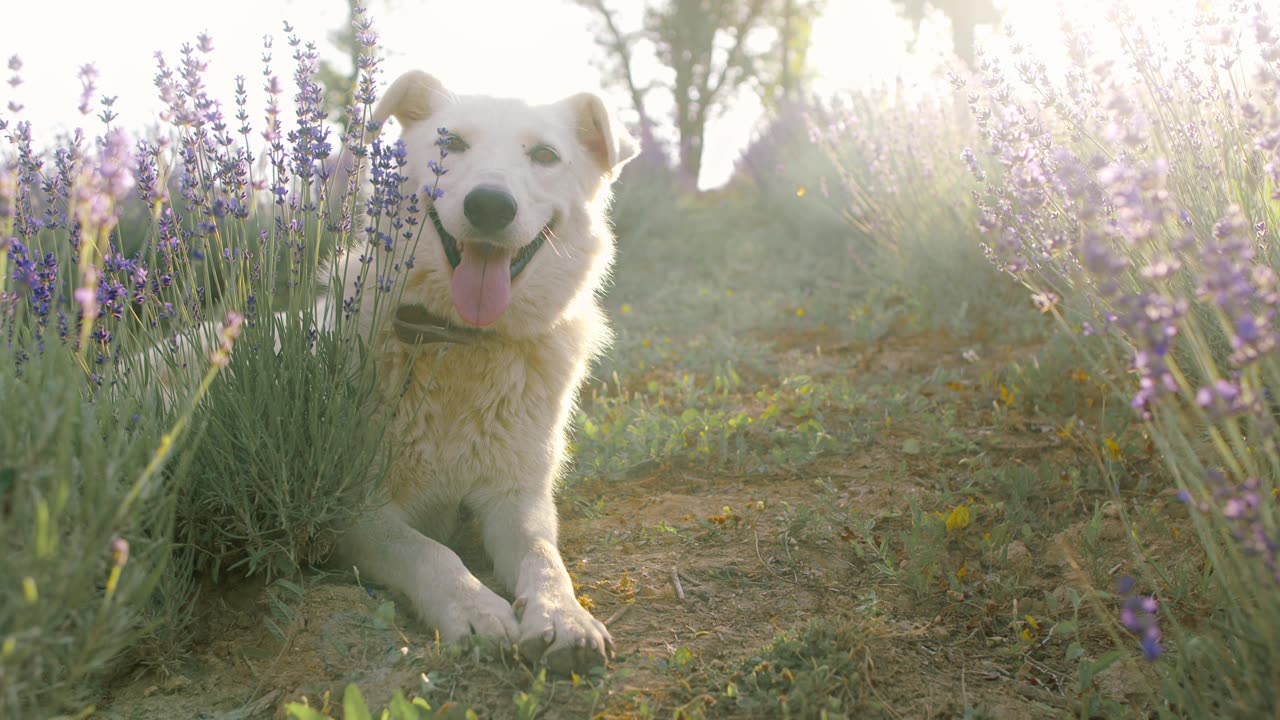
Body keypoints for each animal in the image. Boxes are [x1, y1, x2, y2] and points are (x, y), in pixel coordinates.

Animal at [325, 68, 634, 671]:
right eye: (453, 144)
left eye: (544, 155)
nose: (490, 205)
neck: (460, 342)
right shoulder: (355, 511)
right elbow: (428, 550)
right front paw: (475, 608)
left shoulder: (518, 500)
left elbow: (544, 557)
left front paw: (564, 616)